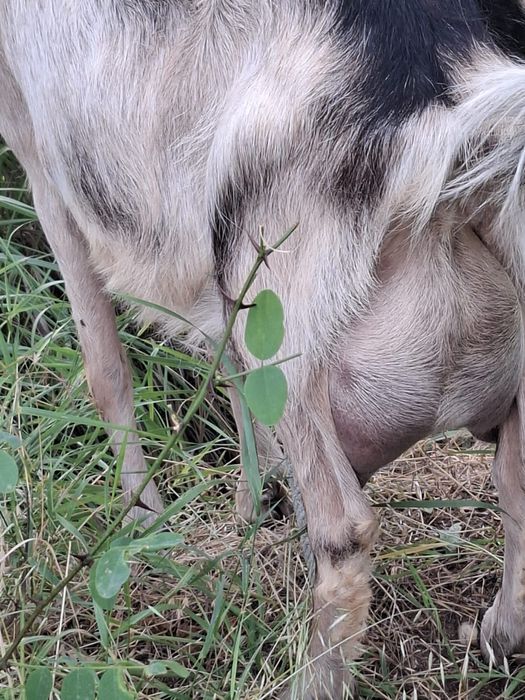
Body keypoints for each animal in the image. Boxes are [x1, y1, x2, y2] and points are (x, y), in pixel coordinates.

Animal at [2, 1, 525, 697]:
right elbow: (227, 374)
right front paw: (259, 506)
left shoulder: (40, 152)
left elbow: (105, 367)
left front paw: (144, 526)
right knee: (517, 482)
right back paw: (495, 637)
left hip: (282, 306)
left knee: (346, 528)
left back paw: (308, 679)